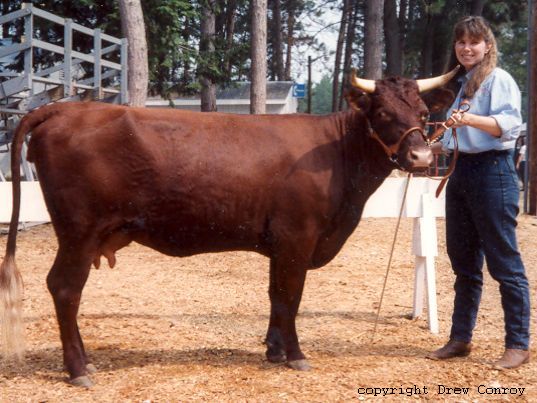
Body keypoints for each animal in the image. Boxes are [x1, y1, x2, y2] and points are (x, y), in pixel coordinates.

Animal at [0, 70, 454, 388]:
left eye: (424, 114)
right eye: (383, 114)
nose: (420, 157)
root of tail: (66, 109)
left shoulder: (281, 243)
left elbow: (276, 295)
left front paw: (274, 349)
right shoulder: (298, 237)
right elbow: (291, 296)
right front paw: (295, 354)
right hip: (79, 233)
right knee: (64, 288)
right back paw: (78, 368)